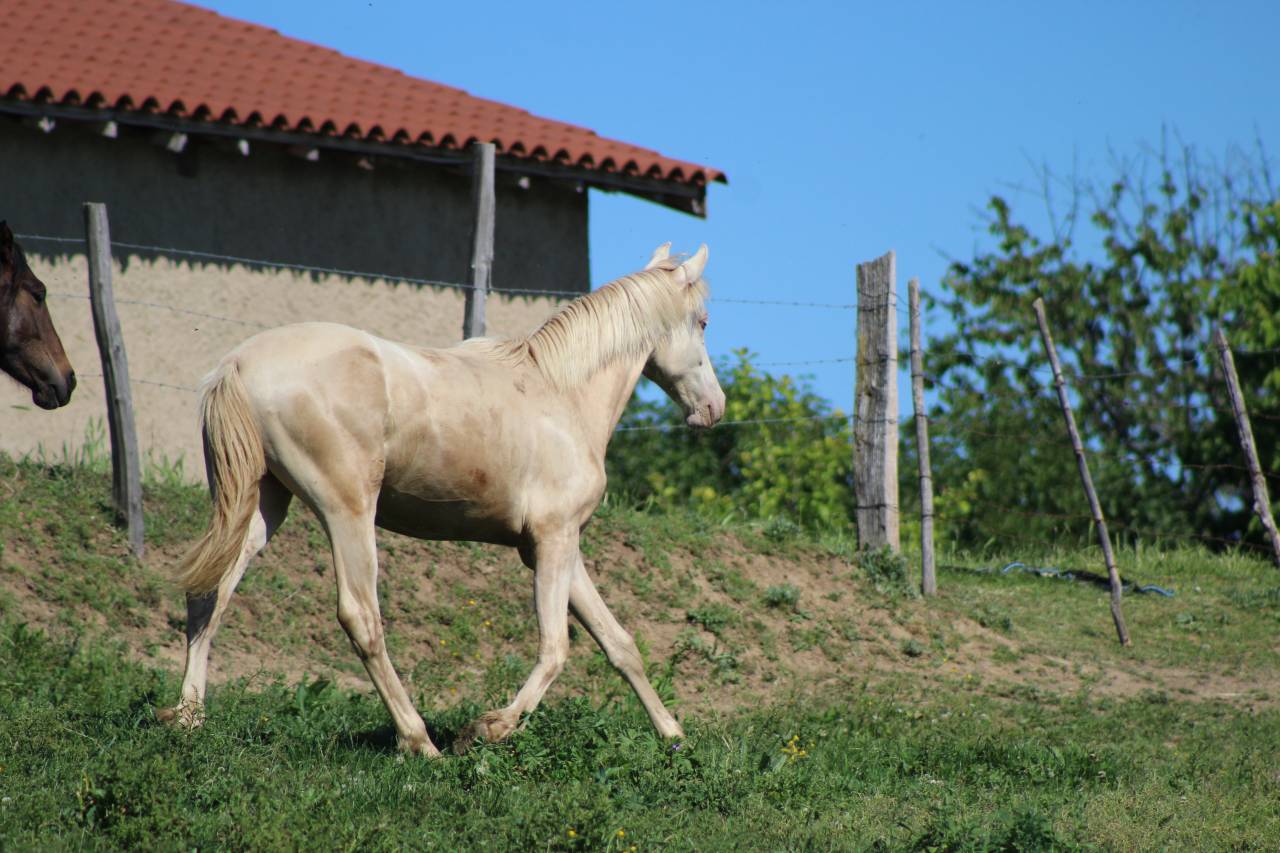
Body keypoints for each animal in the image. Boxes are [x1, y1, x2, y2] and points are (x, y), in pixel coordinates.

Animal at [160, 243, 725, 756]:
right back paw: (419, 741)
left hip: (258, 507)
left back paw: (189, 717)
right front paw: (489, 729)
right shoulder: (554, 540)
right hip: (347, 511)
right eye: (702, 321)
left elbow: (620, 645)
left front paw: (674, 737)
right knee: (361, 618)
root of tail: (237, 364)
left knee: (210, 596)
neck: (560, 394)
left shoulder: (556, 547)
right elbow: (556, 648)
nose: (714, 409)